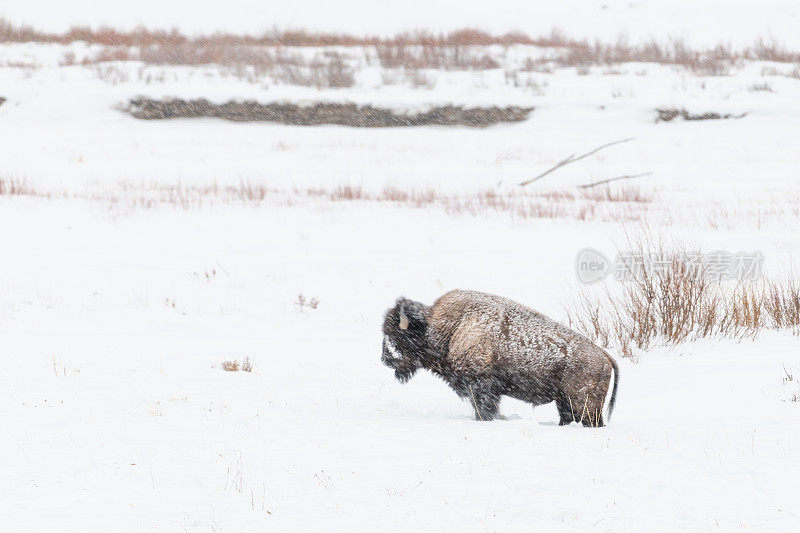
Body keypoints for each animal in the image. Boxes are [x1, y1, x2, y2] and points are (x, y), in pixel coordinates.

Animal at [380, 288, 620, 426]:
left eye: (399, 336)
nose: (386, 360)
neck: (449, 327)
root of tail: (604, 356)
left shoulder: (481, 387)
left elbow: (485, 410)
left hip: (584, 406)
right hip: (565, 404)